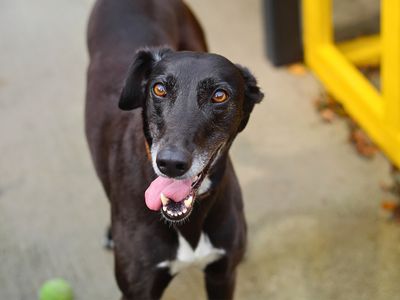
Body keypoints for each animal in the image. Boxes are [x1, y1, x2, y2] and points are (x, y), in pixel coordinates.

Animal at [86, 0, 264, 298]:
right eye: (159, 89)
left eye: (219, 95)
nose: (170, 163)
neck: (187, 221)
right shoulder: (138, 290)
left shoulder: (223, 275)